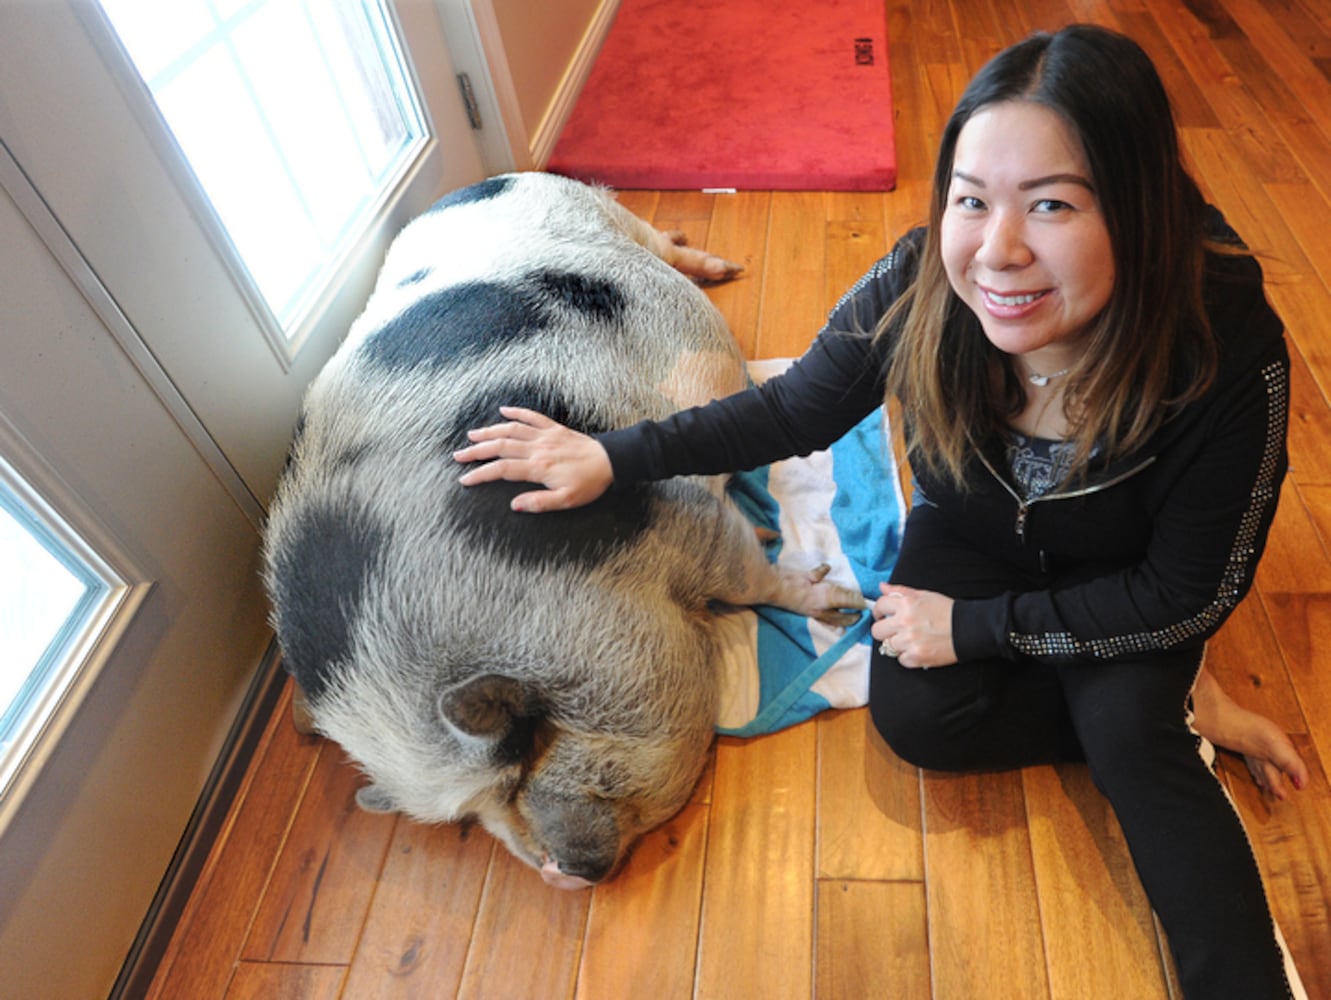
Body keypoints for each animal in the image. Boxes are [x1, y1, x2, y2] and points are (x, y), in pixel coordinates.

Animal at [264, 171, 867, 889]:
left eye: (518, 758)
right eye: (470, 820)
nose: (557, 872)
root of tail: (484, 181)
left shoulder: (683, 512)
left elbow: (752, 580)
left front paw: (837, 603)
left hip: (610, 217)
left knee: (663, 240)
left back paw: (724, 266)